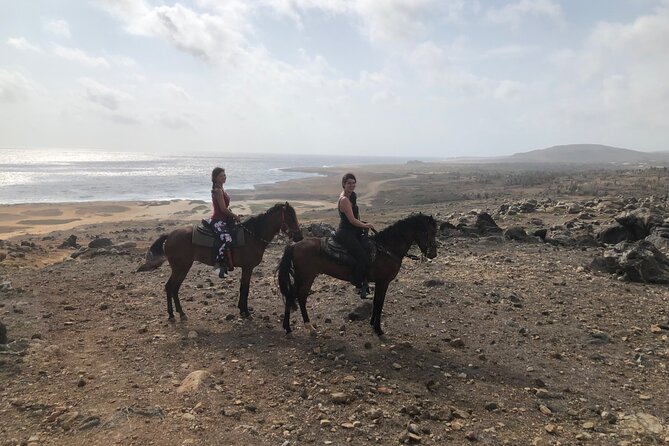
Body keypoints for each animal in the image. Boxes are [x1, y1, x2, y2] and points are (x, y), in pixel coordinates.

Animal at [138, 202, 302, 320]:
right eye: (290, 218)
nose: (299, 237)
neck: (252, 236)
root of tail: (170, 235)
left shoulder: (246, 268)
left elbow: (243, 288)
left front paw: (241, 310)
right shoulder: (248, 268)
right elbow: (245, 289)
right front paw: (246, 312)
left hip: (181, 268)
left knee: (173, 288)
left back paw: (177, 313)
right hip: (181, 267)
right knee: (171, 287)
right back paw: (175, 314)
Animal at [276, 213, 438, 334]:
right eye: (430, 232)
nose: (433, 254)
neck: (386, 249)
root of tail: (294, 245)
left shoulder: (379, 282)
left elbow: (375, 302)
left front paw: (372, 323)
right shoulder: (383, 282)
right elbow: (379, 302)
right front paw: (378, 329)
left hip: (301, 278)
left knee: (291, 295)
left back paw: (287, 327)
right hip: (306, 277)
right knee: (300, 297)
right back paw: (308, 326)